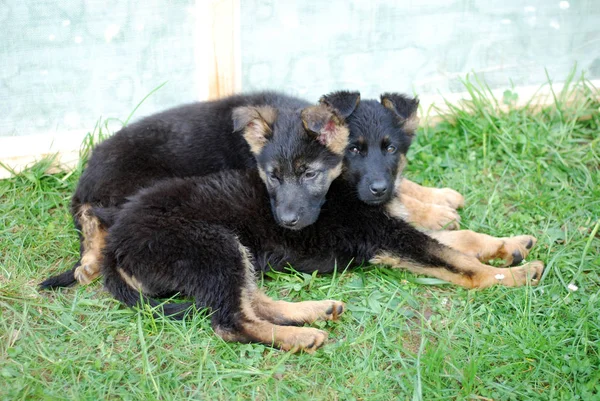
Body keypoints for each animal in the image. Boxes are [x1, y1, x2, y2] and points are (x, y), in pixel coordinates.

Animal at [95, 101, 544, 354]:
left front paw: (509, 244)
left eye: (390, 149)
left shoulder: (391, 228)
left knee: (251, 301)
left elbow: (458, 239)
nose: (381, 189)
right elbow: (455, 259)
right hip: (214, 245)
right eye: (356, 150)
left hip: (231, 254)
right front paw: (515, 274)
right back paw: (300, 338)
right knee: (230, 321)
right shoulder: (387, 237)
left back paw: (314, 311)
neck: (342, 184)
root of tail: (113, 245)